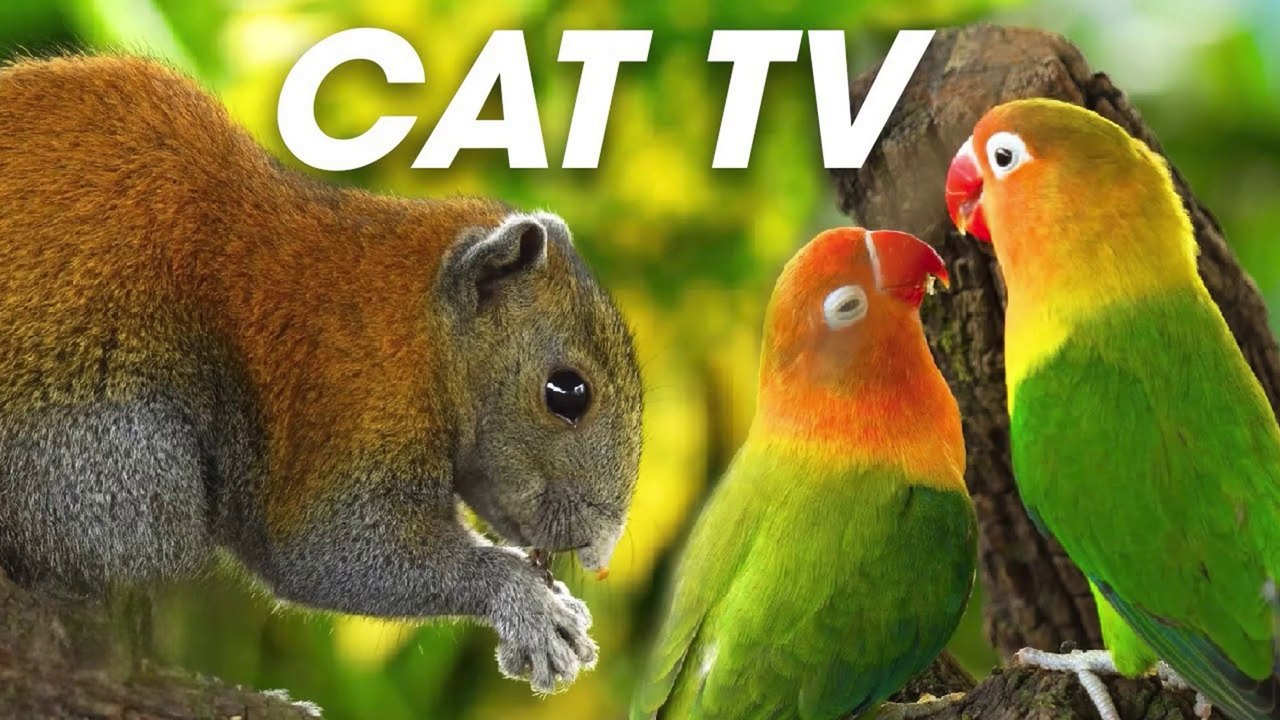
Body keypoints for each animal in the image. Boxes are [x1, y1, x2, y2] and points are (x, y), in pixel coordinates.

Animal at [0, 55, 643, 693]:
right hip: (120, 458)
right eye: (567, 393)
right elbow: (329, 549)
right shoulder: (350, 398)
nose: (600, 552)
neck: (420, 323)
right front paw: (527, 602)